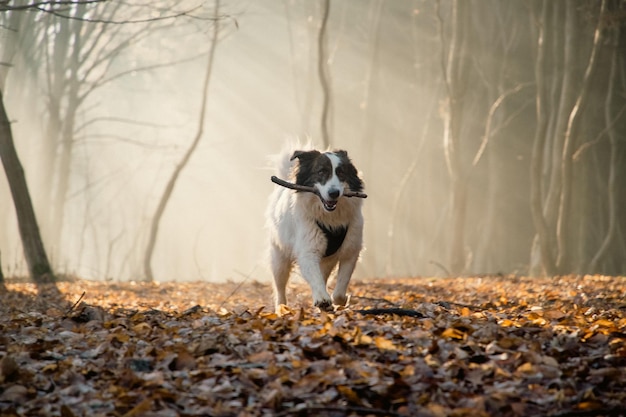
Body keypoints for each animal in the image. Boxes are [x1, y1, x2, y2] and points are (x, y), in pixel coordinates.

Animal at [266, 145, 364, 310]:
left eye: (341, 172)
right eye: (321, 172)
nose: (334, 193)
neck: (330, 217)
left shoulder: (351, 250)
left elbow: (340, 287)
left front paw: (339, 300)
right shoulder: (308, 249)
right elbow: (315, 277)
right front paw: (322, 299)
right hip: (279, 257)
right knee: (279, 285)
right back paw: (281, 308)